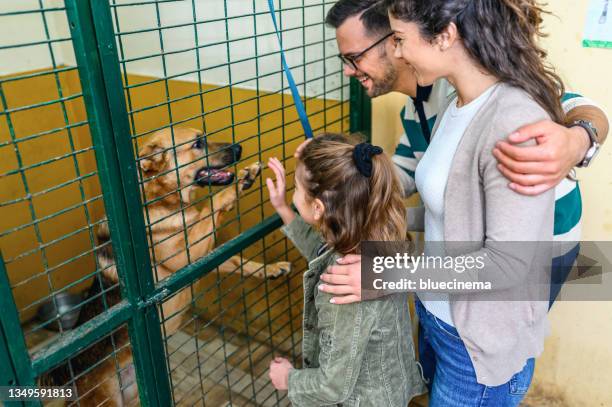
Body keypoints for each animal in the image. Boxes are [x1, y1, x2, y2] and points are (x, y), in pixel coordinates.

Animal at [42, 126, 292, 404]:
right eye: (197, 143)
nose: (239, 148)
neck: (162, 200)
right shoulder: (184, 257)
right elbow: (211, 205)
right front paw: (239, 183)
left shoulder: (202, 255)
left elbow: (239, 260)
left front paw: (271, 269)